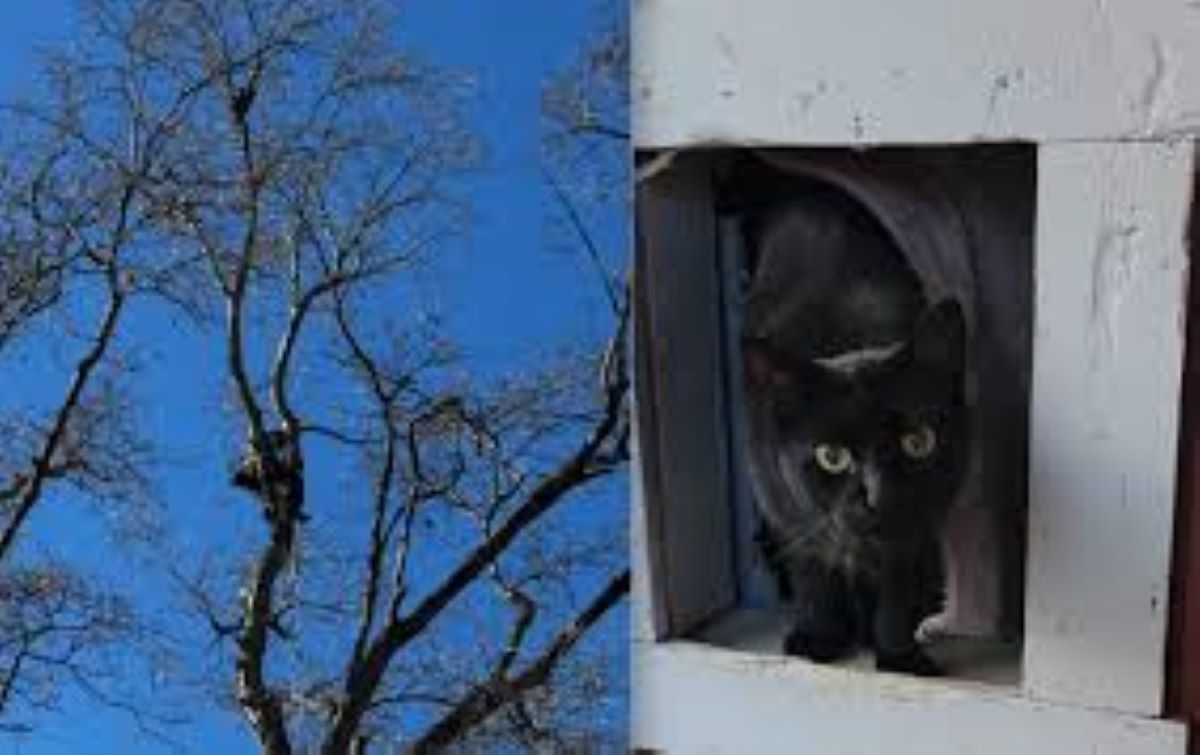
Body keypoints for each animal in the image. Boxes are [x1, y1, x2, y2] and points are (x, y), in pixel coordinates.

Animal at [734, 172, 969, 676]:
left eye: (918, 441)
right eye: (831, 456)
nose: (880, 497)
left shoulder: (917, 528)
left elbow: (900, 586)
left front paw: (900, 656)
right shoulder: (784, 509)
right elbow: (812, 571)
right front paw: (817, 639)